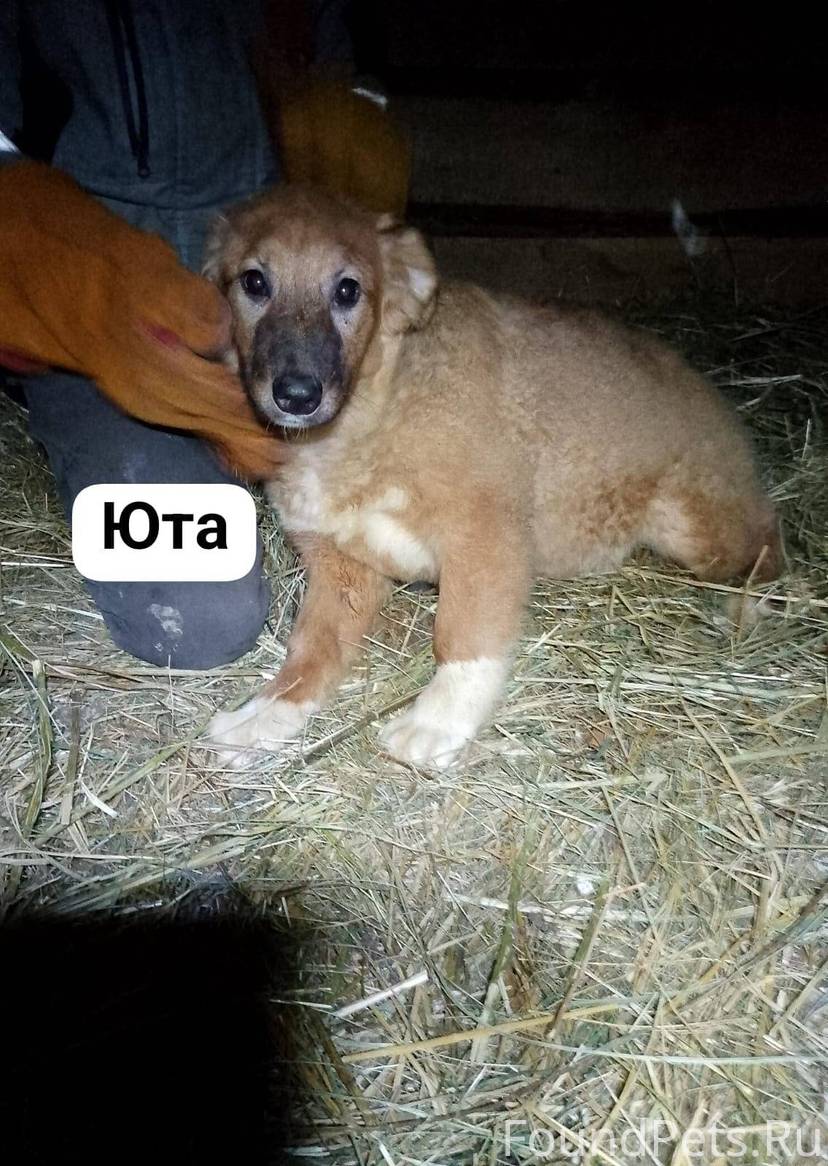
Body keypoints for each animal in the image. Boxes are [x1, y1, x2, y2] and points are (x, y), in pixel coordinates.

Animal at [203, 185, 782, 770]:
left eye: (348, 291)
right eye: (255, 283)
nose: (297, 395)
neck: (373, 415)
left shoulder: (483, 537)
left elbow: (463, 636)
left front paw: (437, 721)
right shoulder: (340, 569)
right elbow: (311, 650)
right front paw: (266, 713)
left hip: (692, 524)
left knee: (767, 534)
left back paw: (750, 604)